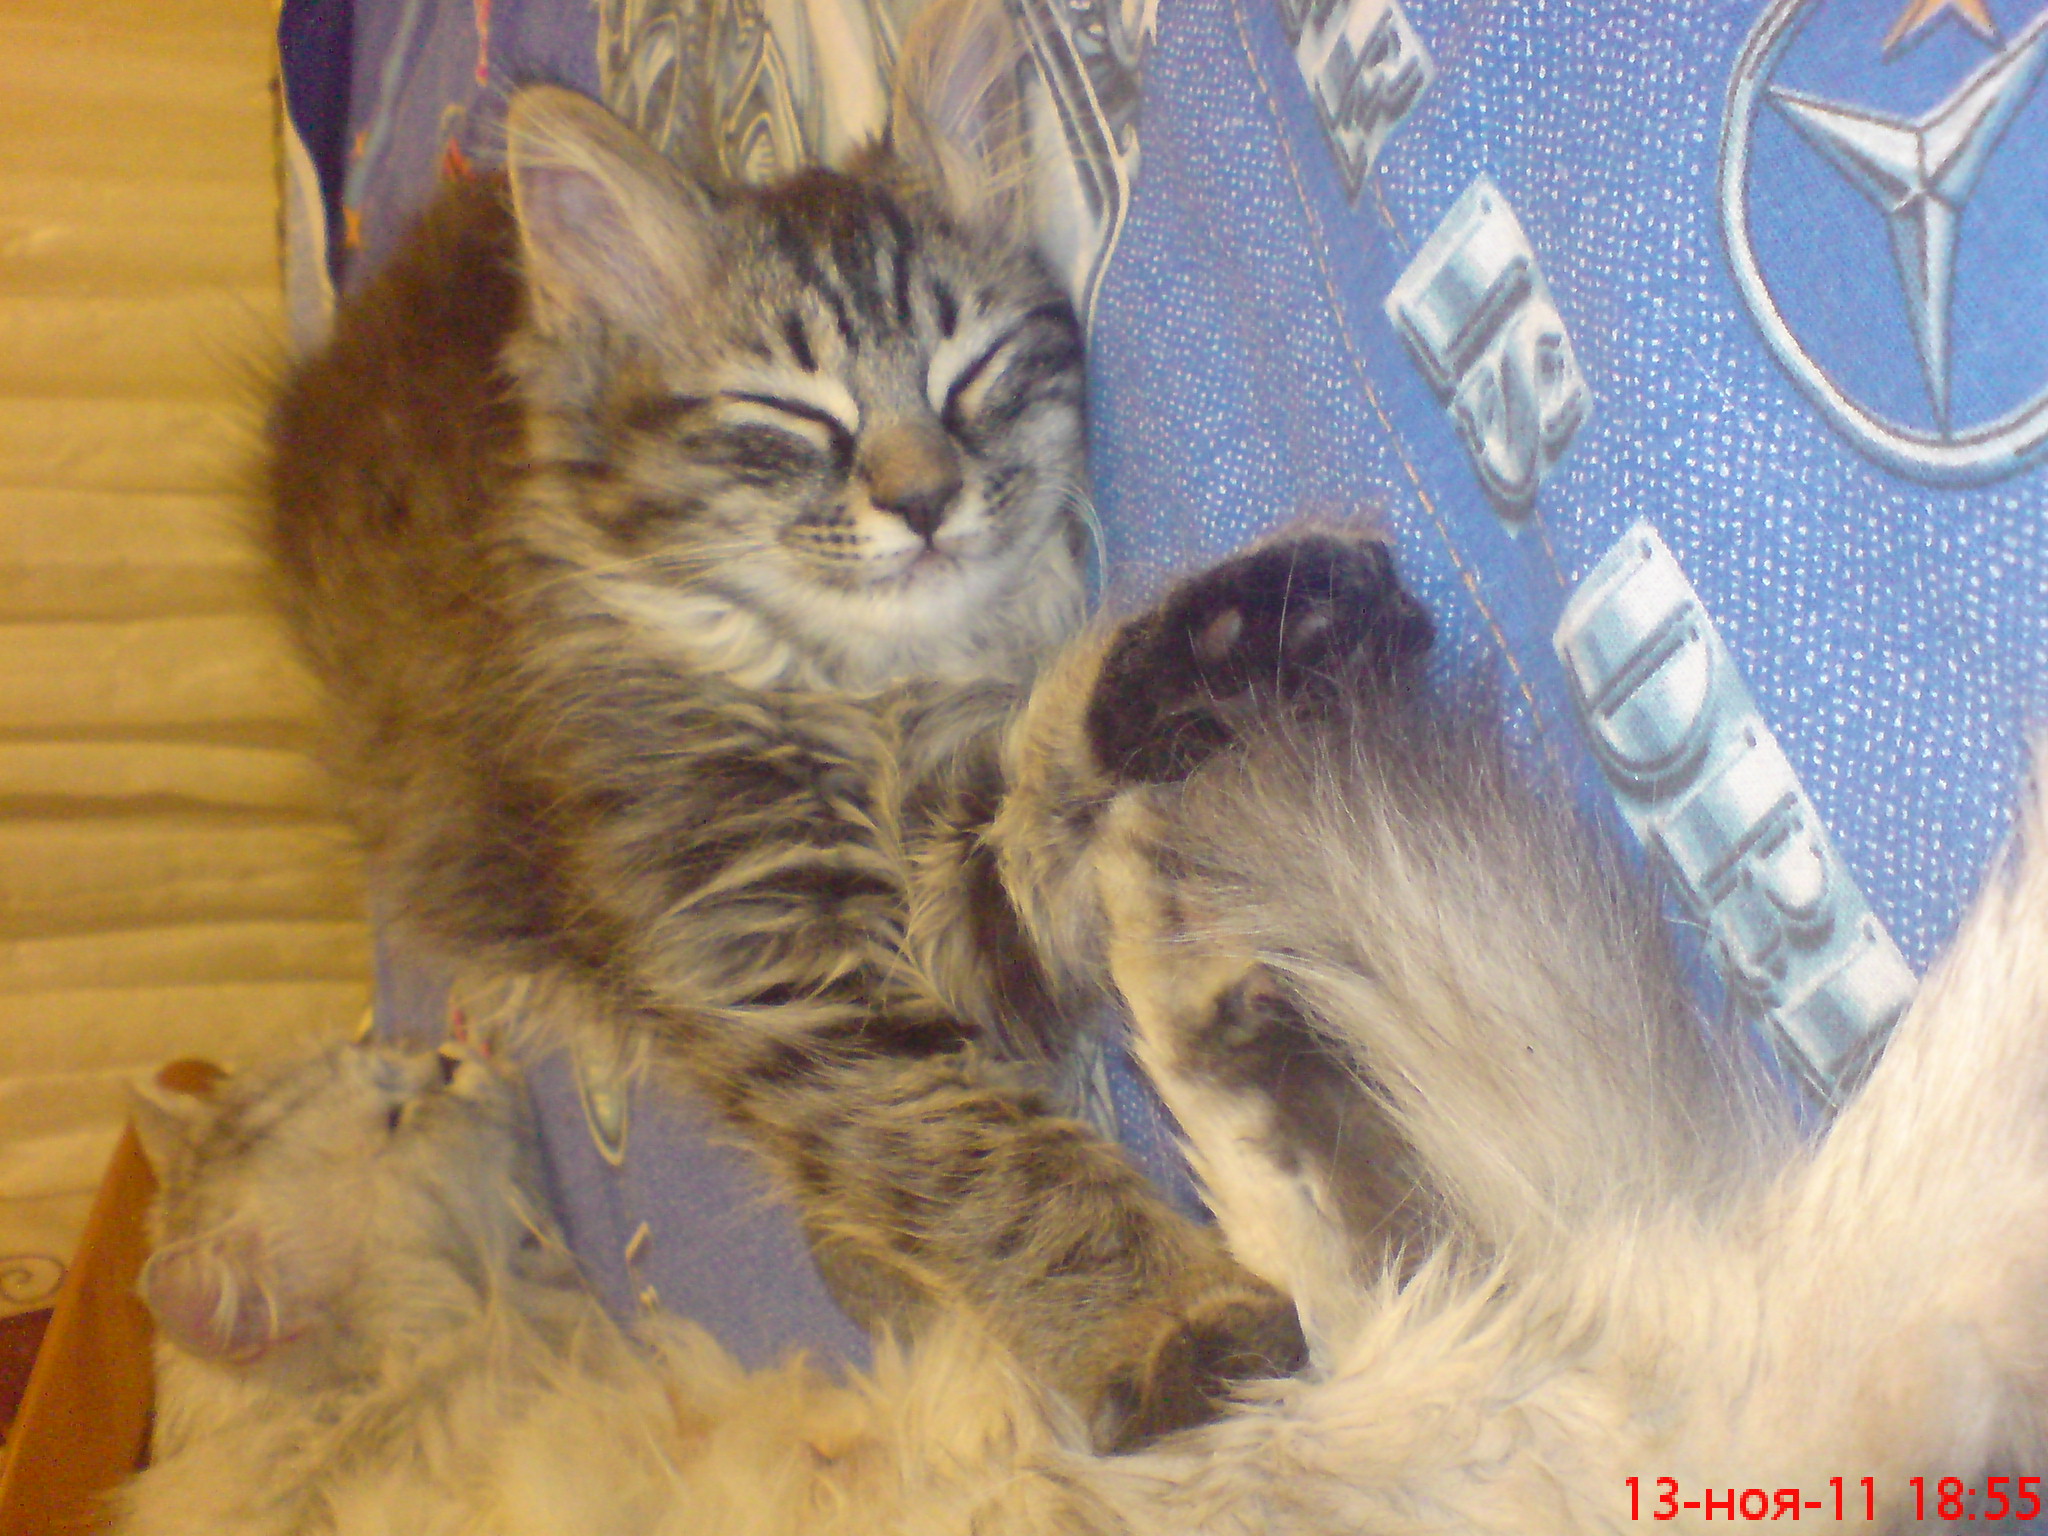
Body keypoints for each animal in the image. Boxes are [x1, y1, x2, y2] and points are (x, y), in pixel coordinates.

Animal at [259, 0, 1433, 1449]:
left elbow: (1050, 794)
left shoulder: (948, 906)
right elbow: (984, 1163)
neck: (852, 694)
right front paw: (1170, 1326)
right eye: (788, 414)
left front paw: (1243, 640)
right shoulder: (781, 973)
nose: (923, 501)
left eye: (971, 374)